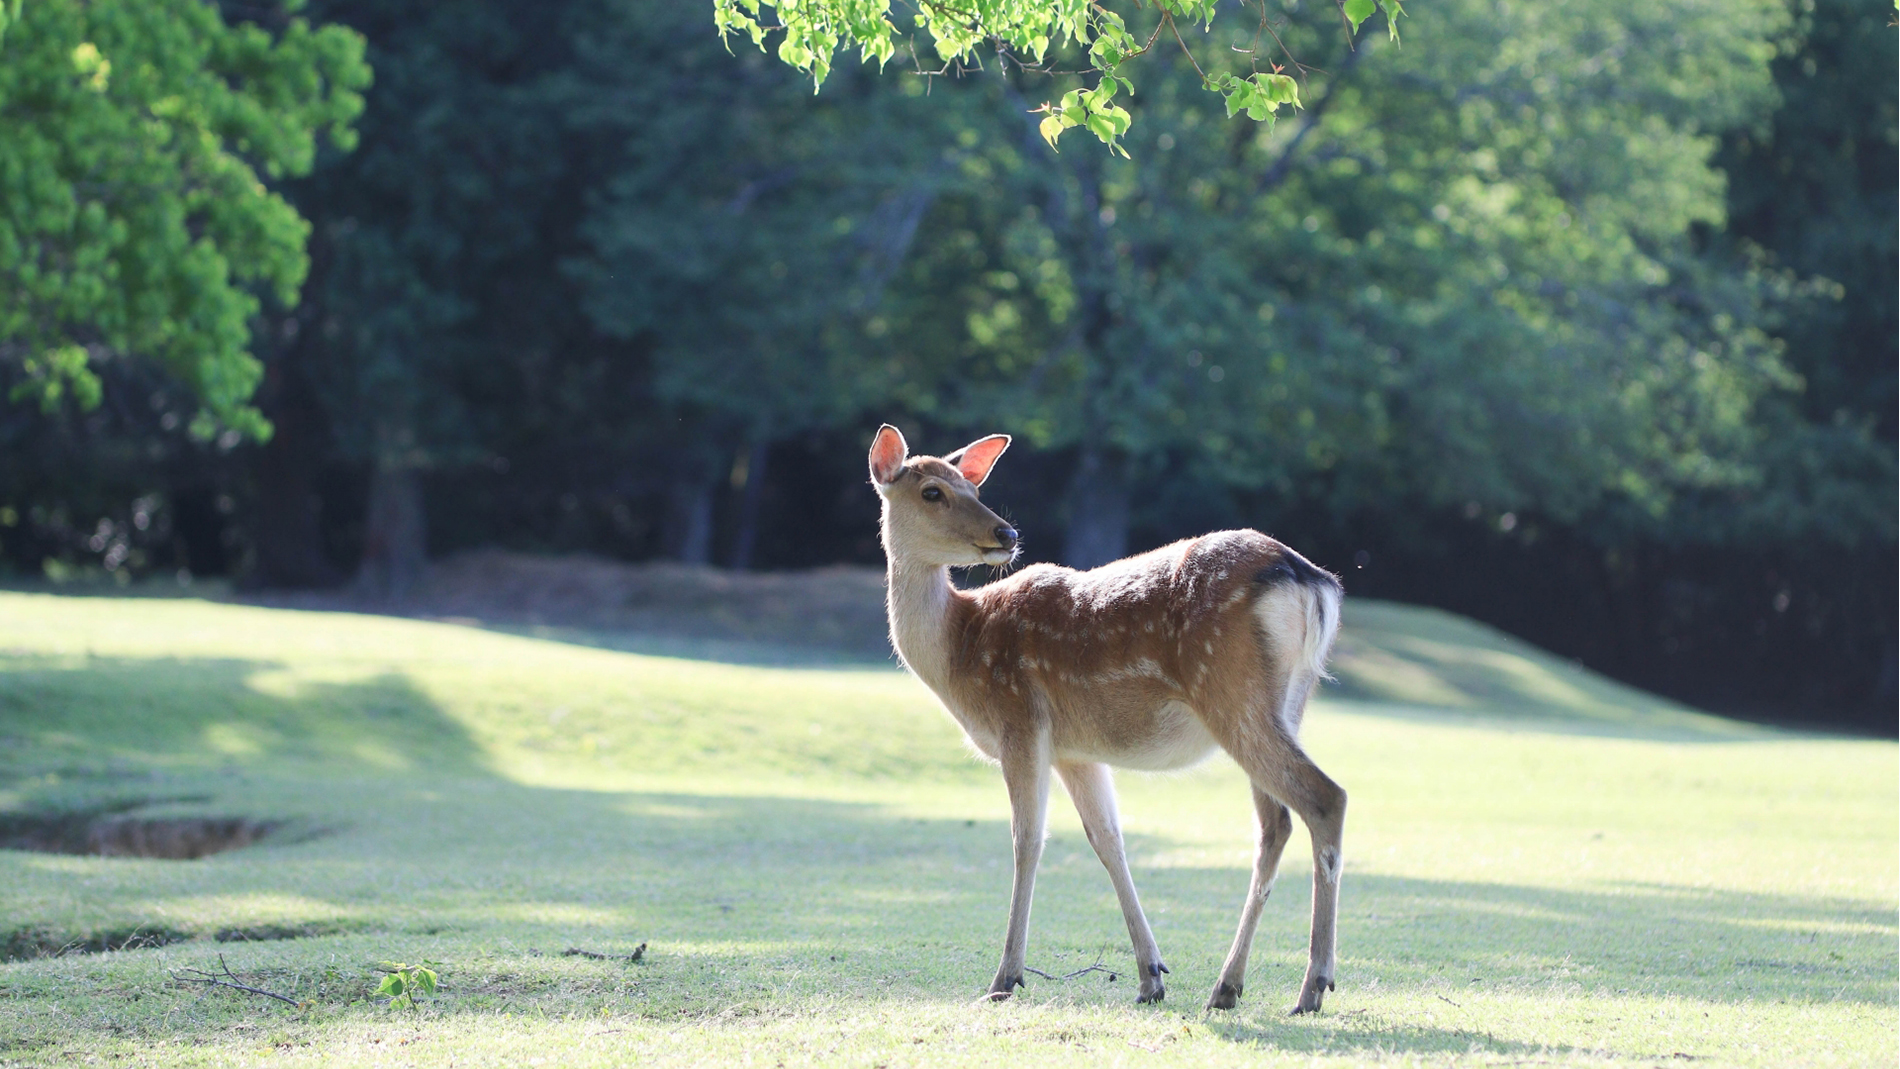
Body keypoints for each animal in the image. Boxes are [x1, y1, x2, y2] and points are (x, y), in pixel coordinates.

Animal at [874, 425, 1352, 1010]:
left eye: (971, 487)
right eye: (933, 492)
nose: (1006, 532)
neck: (960, 649)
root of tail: (1314, 584)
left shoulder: (1019, 721)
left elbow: (1026, 840)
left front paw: (1005, 977)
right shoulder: (1075, 750)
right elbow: (1108, 841)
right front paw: (1151, 975)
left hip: (1232, 695)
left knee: (1325, 797)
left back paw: (1313, 985)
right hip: (1287, 703)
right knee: (1275, 823)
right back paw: (1227, 986)